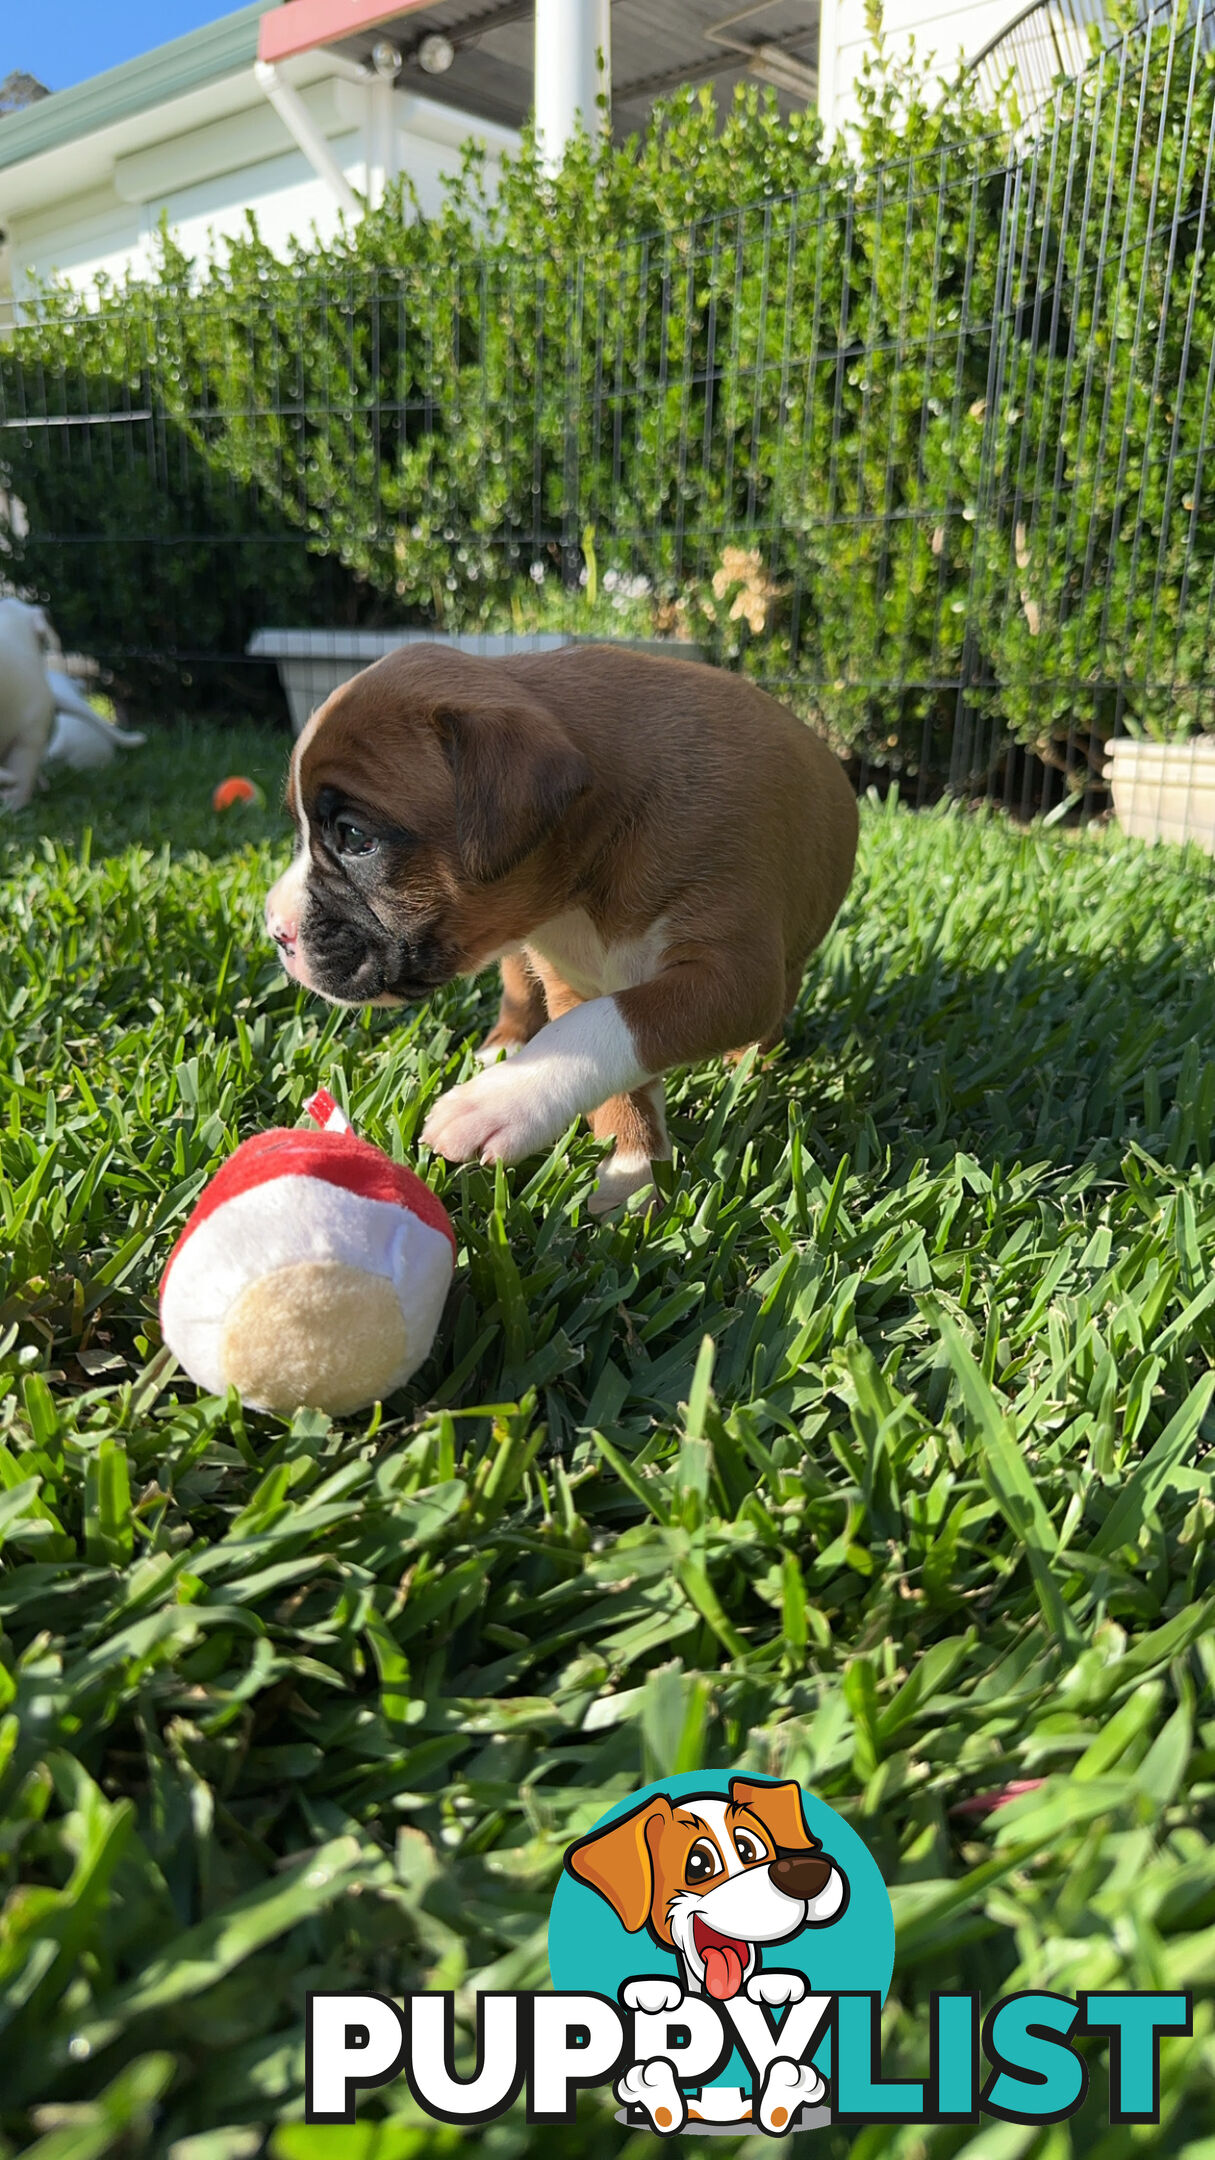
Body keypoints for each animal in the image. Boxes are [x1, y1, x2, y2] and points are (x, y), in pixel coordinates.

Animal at [266, 639, 851, 1218]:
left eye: (355, 837)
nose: (276, 929)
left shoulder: (736, 975)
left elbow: (610, 1023)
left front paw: (500, 1103)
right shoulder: (572, 979)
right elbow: (601, 1061)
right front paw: (633, 1167)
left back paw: (748, 1066)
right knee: (519, 989)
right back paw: (501, 1047)